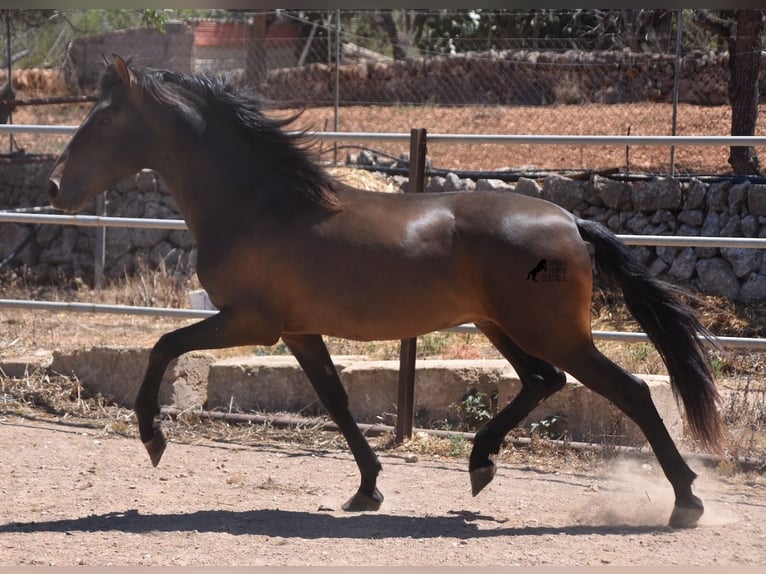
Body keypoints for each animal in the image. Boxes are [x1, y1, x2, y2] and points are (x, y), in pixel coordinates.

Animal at [45, 56, 724, 528]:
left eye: (104, 118)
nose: (54, 188)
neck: (260, 205)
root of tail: (572, 222)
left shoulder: (248, 321)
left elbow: (163, 344)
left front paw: (152, 437)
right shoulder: (297, 329)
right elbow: (336, 401)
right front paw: (367, 488)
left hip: (553, 333)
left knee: (630, 392)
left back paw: (686, 503)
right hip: (500, 326)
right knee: (542, 381)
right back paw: (481, 465)